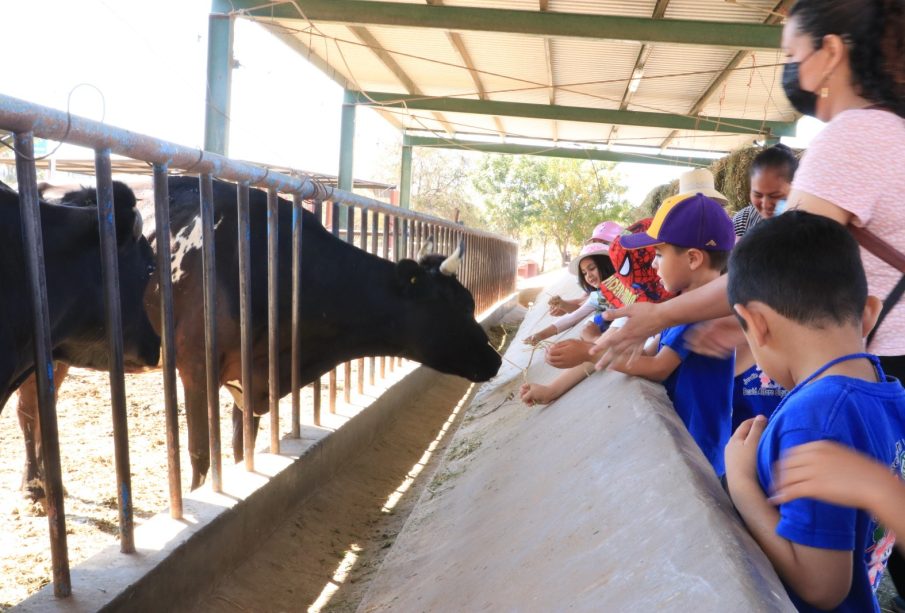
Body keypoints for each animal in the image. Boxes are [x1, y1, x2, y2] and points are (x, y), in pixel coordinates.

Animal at [17, 176, 502, 492]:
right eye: (453, 307)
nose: (495, 358)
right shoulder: (195, 366)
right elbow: (201, 453)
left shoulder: (249, 376)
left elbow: (239, 448)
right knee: (28, 412)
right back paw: (33, 485)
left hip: (56, 352)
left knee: (39, 409)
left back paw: (43, 483)